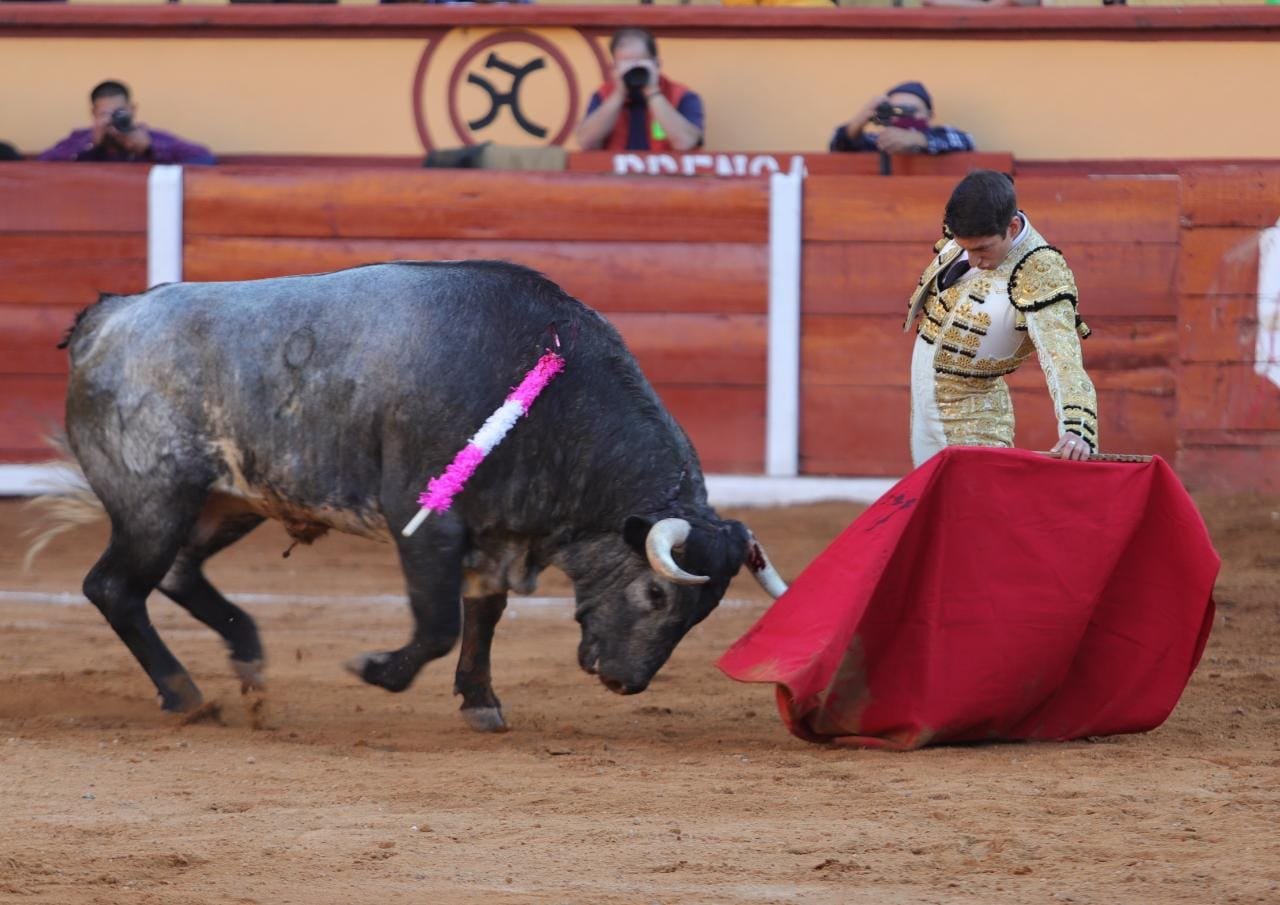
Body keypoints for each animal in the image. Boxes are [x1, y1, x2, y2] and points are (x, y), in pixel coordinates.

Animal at [54, 260, 787, 731]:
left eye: (703, 612)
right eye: (657, 594)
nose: (625, 681)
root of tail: (109, 317)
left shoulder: (499, 534)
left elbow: (483, 617)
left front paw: (480, 701)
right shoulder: (425, 518)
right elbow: (437, 623)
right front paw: (377, 669)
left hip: (225, 502)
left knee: (176, 573)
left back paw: (250, 659)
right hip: (154, 502)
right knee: (114, 587)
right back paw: (186, 695)